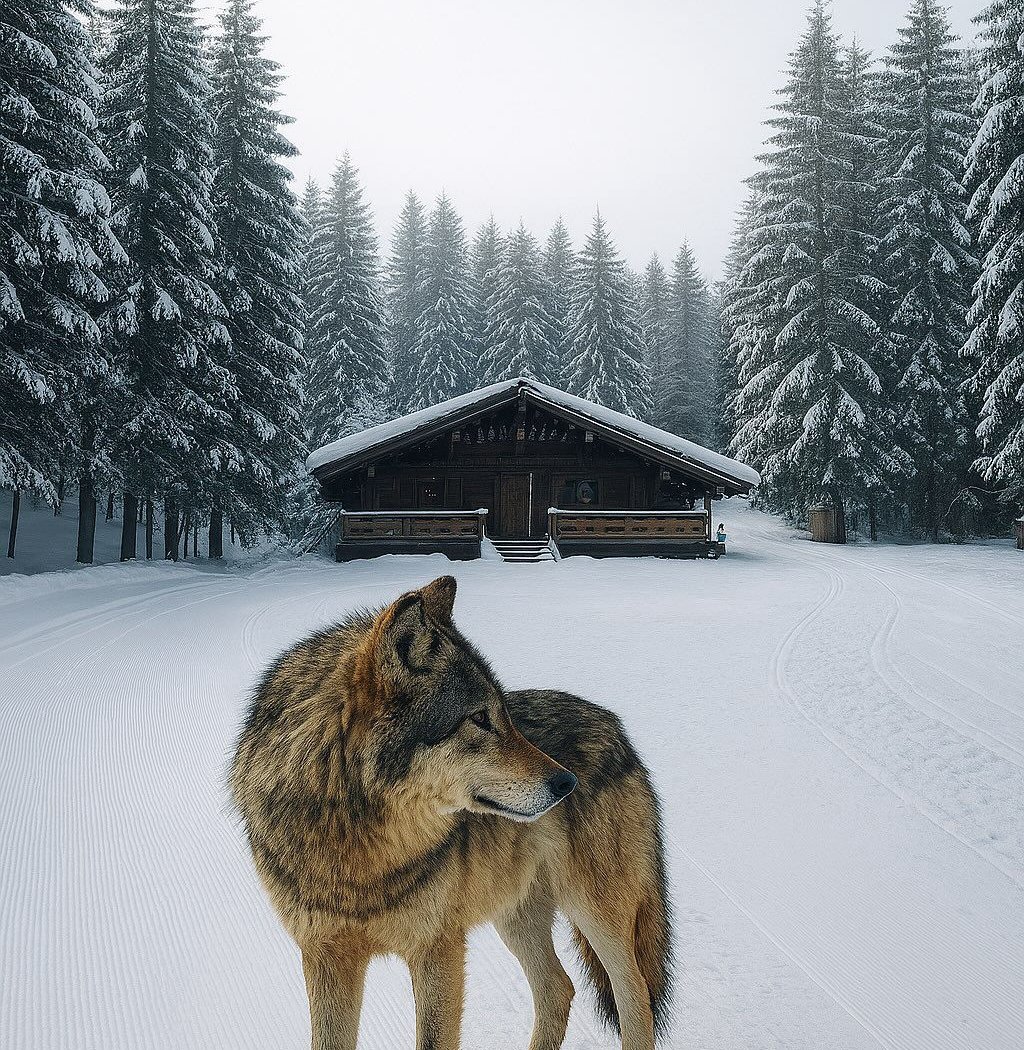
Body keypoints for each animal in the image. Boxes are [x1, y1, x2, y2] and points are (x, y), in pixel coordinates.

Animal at [230, 575, 672, 1050]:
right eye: (479, 717)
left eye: (504, 712)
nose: (567, 784)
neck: (355, 843)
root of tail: (616, 726)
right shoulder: (324, 954)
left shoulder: (437, 948)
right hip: (513, 912)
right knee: (559, 988)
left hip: (594, 910)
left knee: (634, 994)